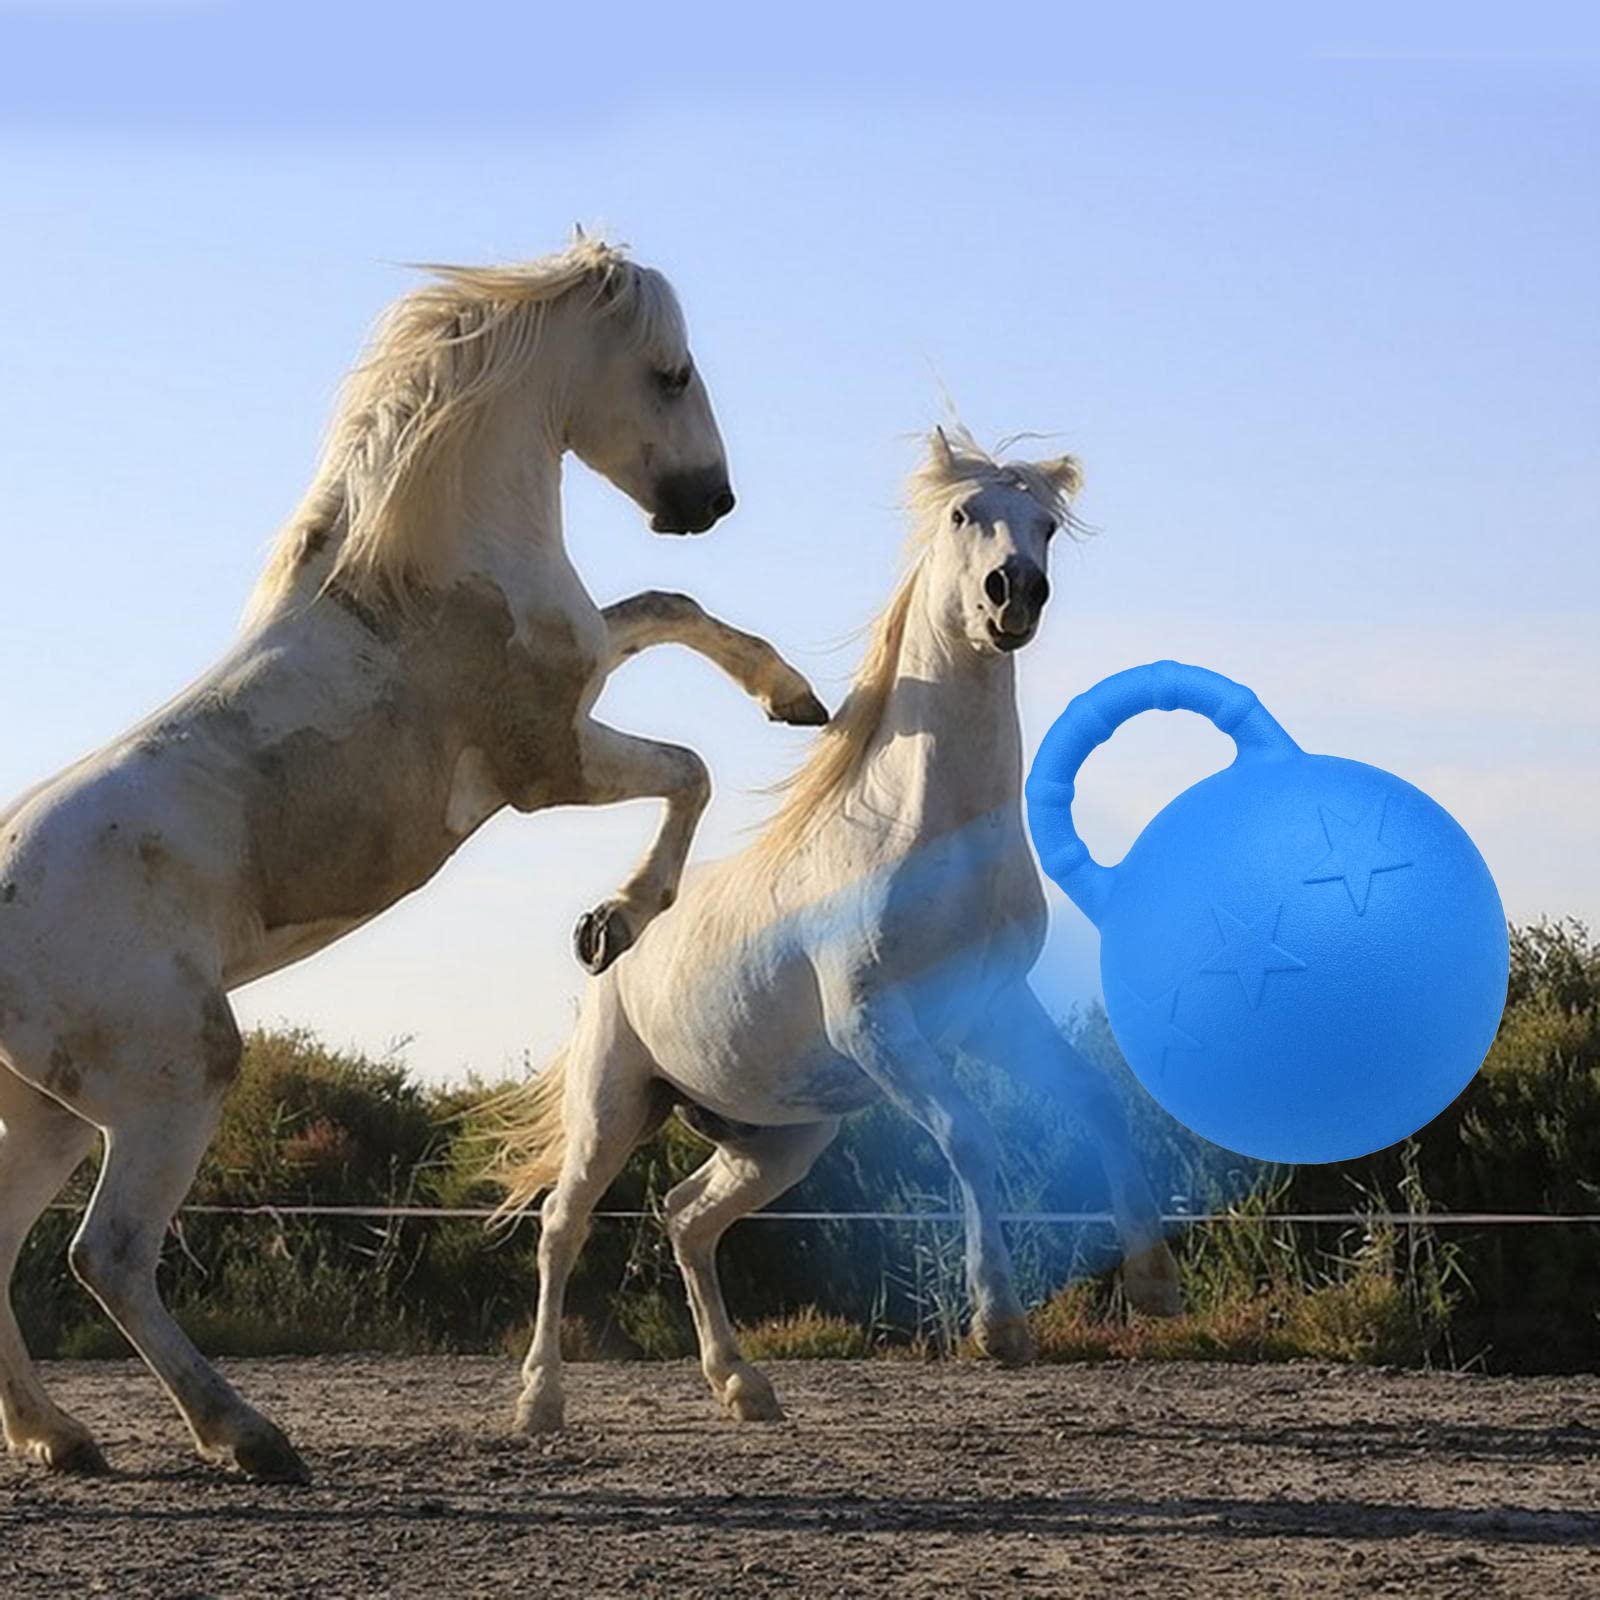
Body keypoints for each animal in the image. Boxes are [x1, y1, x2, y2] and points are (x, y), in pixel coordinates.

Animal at [0, 238, 827, 1482]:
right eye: (671, 373)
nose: (707, 502)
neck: (426, 574)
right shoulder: (547, 764)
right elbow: (686, 768)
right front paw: (614, 922)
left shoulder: (582, 676)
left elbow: (668, 609)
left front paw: (794, 698)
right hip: (167, 1079)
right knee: (110, 1255)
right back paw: (248, 1437)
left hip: (46, 1109)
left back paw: (62, 1436)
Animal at [493, 427, 1183, 1434]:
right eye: (963, 514)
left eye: (1047, 527)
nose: (1013, 595)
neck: (922, 834)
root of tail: (612, 947)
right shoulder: (876, 1025)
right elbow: (972, 1137)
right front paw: (1000, 1326)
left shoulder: (992, 1013)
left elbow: (1096, 1099)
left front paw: (1154, 1284)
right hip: (613, 1101)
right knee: (562, 1227)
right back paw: (540, 1401)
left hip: (778, 1137)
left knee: (687, 1217)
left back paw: (744, 1386)